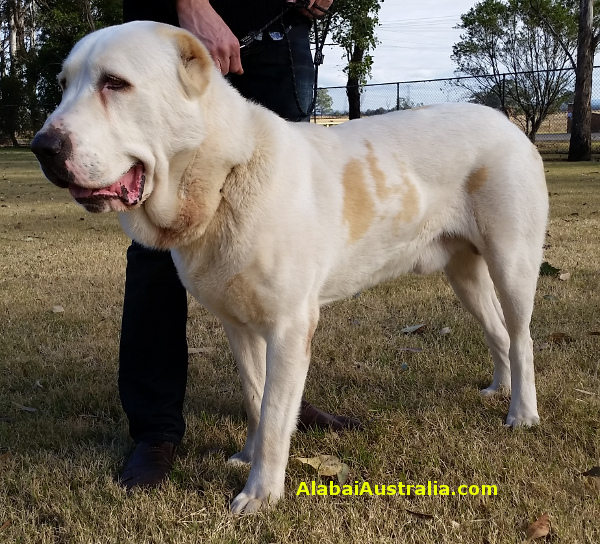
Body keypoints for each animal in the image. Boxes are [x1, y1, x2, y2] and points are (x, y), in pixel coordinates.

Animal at [31, 22, 548, 516]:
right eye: (63, 85)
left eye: (115, 83)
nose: (42, 146)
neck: (223, 178)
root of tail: (505, 122)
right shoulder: (239, 327)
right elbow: (255, 398)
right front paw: (247, 455)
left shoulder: (289, 327)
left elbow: (277, 413)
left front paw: (260, 493)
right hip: (464, 274)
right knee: (498, 333)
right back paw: (500, 390)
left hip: (512, 263)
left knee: (521, 338)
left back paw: (523, 413)